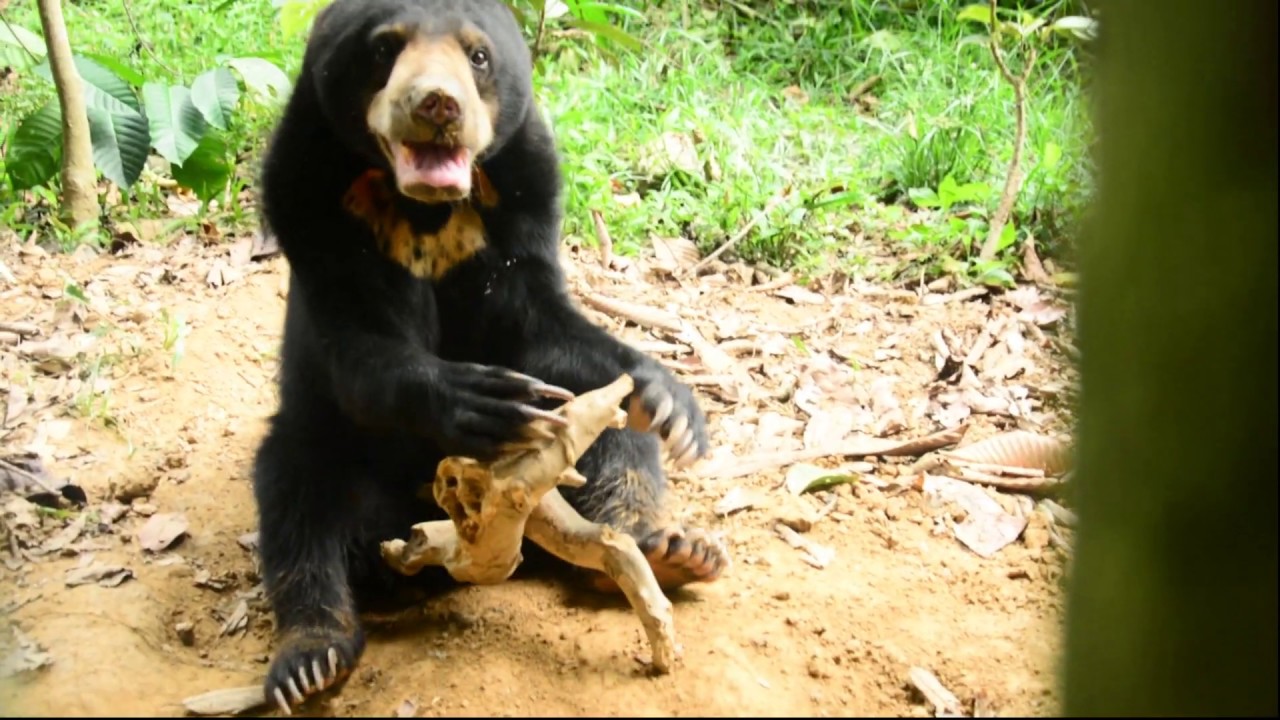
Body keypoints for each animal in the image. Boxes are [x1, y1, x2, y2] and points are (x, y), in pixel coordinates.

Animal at [251, 0, 730, 712]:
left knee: (620, 448)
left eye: (477, 56)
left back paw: (672, 550)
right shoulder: (307, 197)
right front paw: (485, 402)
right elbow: (359, 350)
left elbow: (540, 322)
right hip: (326, 458)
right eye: (384, 50)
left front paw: (670, 402)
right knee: (295, 496)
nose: (438, 104)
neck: (423, 209)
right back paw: (311, 659)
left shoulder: (522, 190)